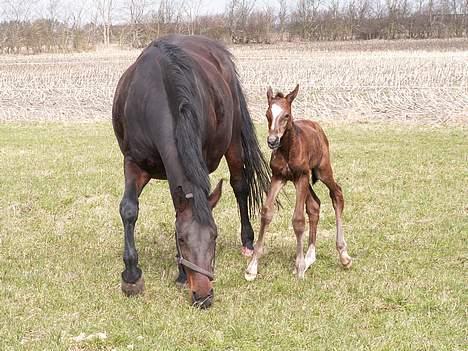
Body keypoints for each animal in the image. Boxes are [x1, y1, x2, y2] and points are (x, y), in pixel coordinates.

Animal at [111, 33, 268, 308]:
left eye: (214, 236)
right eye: (182, 239)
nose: (204, 296)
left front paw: (182, 274)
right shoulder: (133, 162)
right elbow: (129, 209)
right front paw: (132, 276)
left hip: (233, 142)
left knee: (240, 186)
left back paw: (248, 242)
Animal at [245, 85, 352, 284]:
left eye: (286, 115)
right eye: (267, 114)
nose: (272, 141)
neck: (287, 148)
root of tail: (317, 126)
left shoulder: (301, 177)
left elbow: (298, 219)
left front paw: (299, 266)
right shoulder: (278, 177)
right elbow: (266, 213)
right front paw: (252, 267)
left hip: (321, 170)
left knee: (337, 194)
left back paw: (343, 255)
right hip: (303, 180)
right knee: (315, 205)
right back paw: (310, 256)